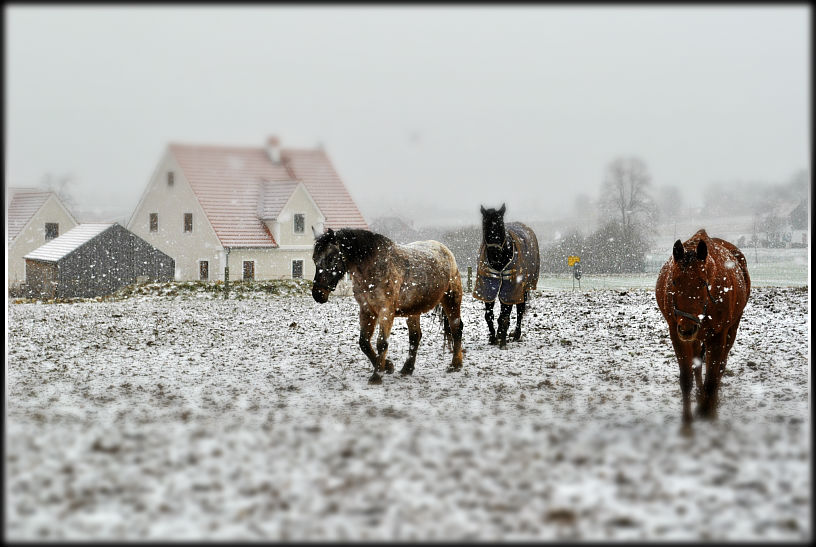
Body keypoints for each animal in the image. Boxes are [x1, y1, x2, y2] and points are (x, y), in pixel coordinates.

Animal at [312, 227, 466, 386]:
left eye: (331, 258)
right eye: (314, 259)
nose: (318, 294)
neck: (374, 266)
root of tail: (446, 251)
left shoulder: (386, 311)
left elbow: (382, 343)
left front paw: (377, 376)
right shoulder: (366, 311)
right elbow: (364, 342)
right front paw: (388, 366)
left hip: (451, 300)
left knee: (456, 328)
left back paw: (455, 365)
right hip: (413, 310)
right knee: (415, 336)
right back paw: (407, 369)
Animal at [472, 203, 540, 348]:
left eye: (500, 226)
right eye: (485, 225)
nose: (494, 254)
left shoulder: (511, 288)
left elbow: (505, 315)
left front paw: (502, 339)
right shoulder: (488, 287)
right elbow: (489, 315)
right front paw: (493, 337)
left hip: (523, 288)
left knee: (520, 310)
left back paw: (516, 334)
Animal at [656, 229, 752, 430]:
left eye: (703, 282)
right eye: (674, 282)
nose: (687, 329)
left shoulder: (718, 336)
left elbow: (713, 379)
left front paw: (709, 413)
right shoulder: (676, 334)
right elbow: (687, 378)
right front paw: (687, 423)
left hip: (729, 330)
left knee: (720, 367)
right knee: (698, 365)